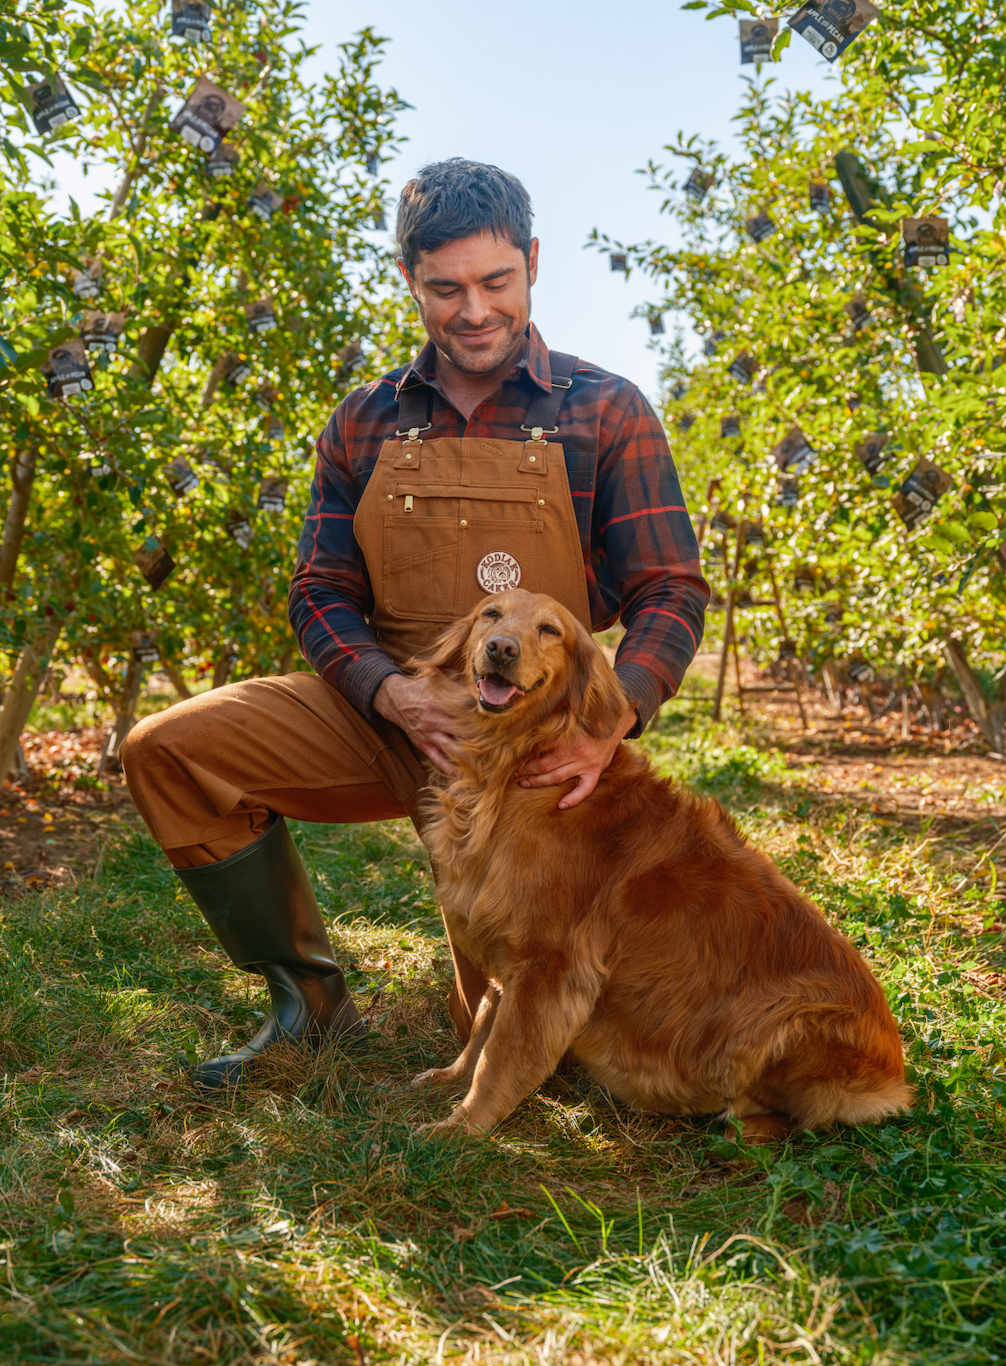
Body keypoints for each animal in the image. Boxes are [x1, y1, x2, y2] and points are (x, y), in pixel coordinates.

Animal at [410, 587, 913, 1141]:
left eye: (549, 630)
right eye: (491, 614)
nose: (501, 649)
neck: (506, 763)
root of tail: (896, 1077)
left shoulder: (549, 962)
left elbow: (499, 1055)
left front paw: (461, 1128)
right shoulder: (507, 941)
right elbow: (482, 1027)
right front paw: (451, 1078)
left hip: (788, 1018)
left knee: (796, 1113)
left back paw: (737, 1122)